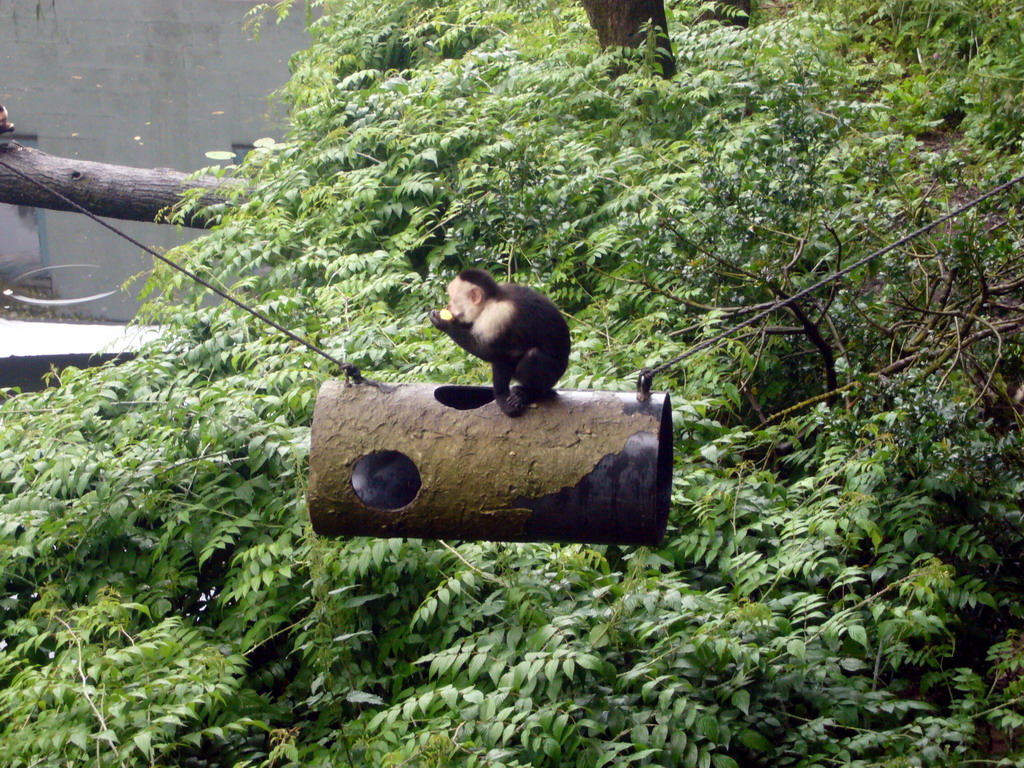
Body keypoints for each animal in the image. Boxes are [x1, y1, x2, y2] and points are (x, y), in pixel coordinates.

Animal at [428, 268, 573, 417]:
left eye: (454, 299)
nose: (449, 305)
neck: (492, 299)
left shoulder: (497, 314)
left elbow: (486, 350)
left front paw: (443, 323)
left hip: (554, 374)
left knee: (526, 355)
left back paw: (528, 394)